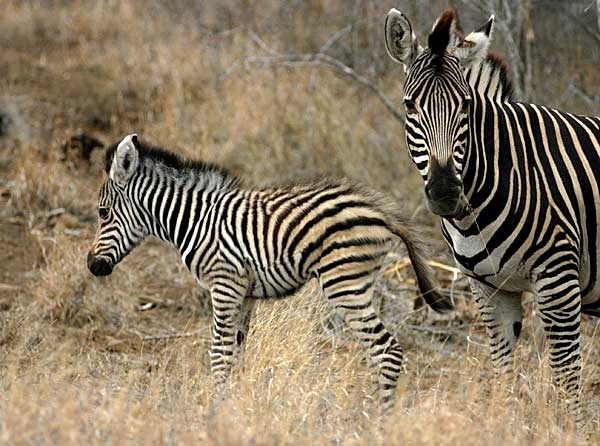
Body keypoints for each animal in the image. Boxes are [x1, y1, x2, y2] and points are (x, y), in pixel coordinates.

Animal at [84, 133, 450, 414]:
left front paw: (217, 410)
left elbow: (218, 353)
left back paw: (377, 419)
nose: (91, 265)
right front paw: (233, 402)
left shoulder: (224, 284)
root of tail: (381, 211)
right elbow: (234, 353)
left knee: (386, 350)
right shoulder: (243, 292)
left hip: (344, 284)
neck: (195, 220)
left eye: (103, 213)